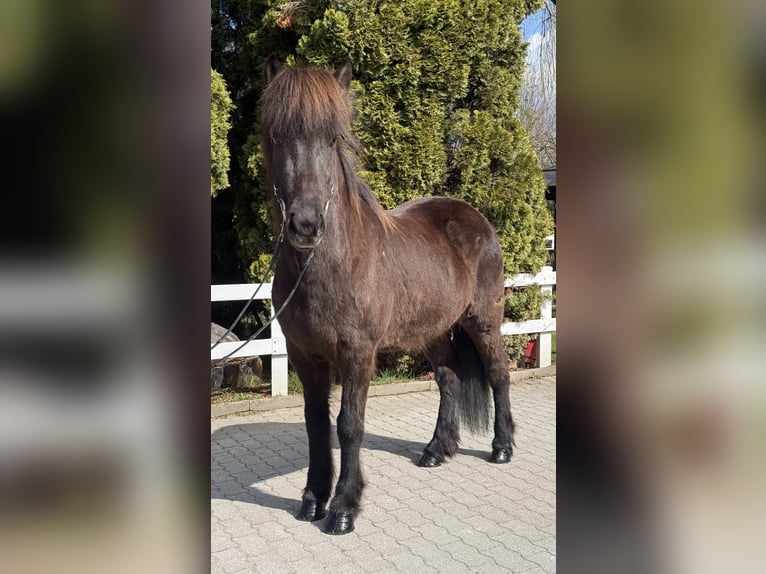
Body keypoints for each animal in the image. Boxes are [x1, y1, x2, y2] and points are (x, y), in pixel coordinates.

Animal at [261, 56, 515, 535]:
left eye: (333, 138)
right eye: (277, 135)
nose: (305, 225)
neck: (333, 264)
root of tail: (475, 216)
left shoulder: (357, 352)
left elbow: (349, 425)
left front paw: (343, 507)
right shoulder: (305, 355)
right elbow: (316, 424)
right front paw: (313, 499)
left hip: (483, 320)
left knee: (498, 374)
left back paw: (503, 447)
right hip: (433, 329)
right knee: (449, 379)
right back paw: (436, 450)